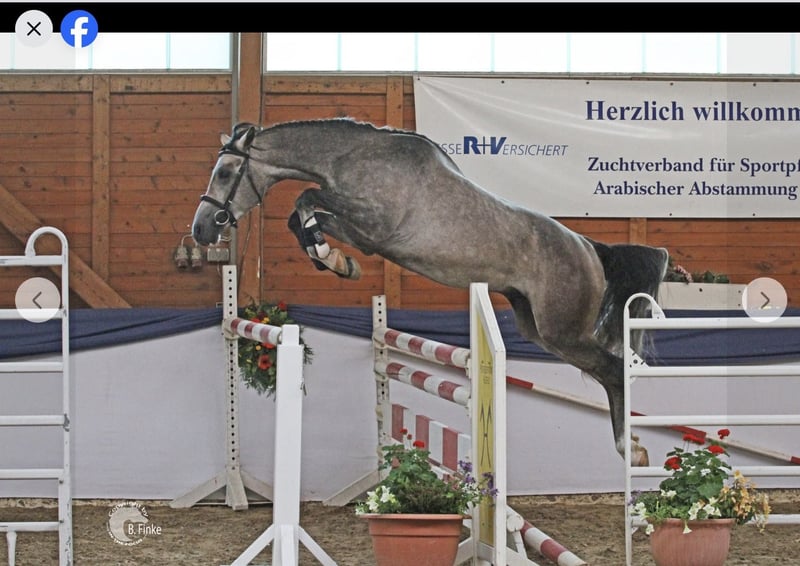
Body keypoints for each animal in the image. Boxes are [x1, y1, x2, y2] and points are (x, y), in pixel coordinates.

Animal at [191, 118, 669, 465]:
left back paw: (631, 450)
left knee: (614, 370)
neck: (353, 157)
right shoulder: (360, 227)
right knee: (607, 371)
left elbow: (307, 198)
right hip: (541, 330)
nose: (201, 230)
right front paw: (334, 260)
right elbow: (301, 214)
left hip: (563, 331)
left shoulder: (373, 227)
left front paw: (332, 257)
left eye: (227, 172)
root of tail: (589, 249)